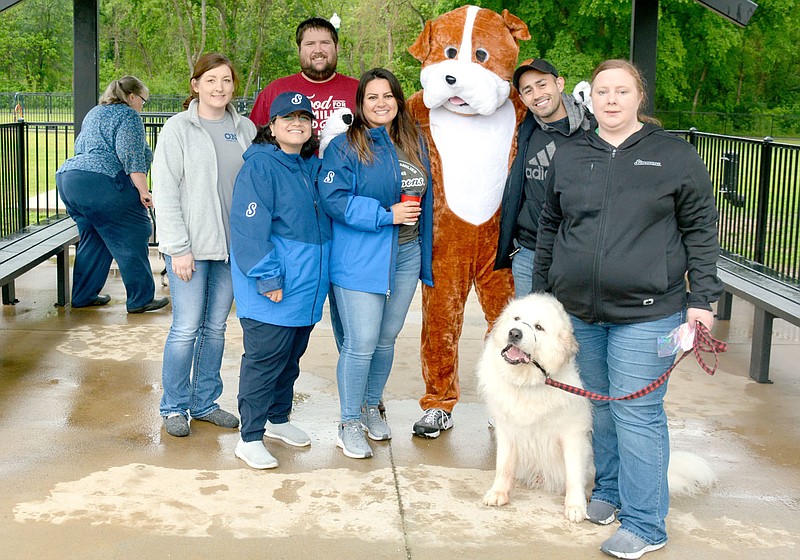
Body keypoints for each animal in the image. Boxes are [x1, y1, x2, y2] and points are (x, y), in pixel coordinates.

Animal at [478, 290, 716, 524]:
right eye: (516, 318)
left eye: (539, 327)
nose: (514, 333)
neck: (531, 382)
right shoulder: (507, 429)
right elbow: (503, 466)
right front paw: (498, 493)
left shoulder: (573, 434)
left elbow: (573, 474)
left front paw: (575, 507)